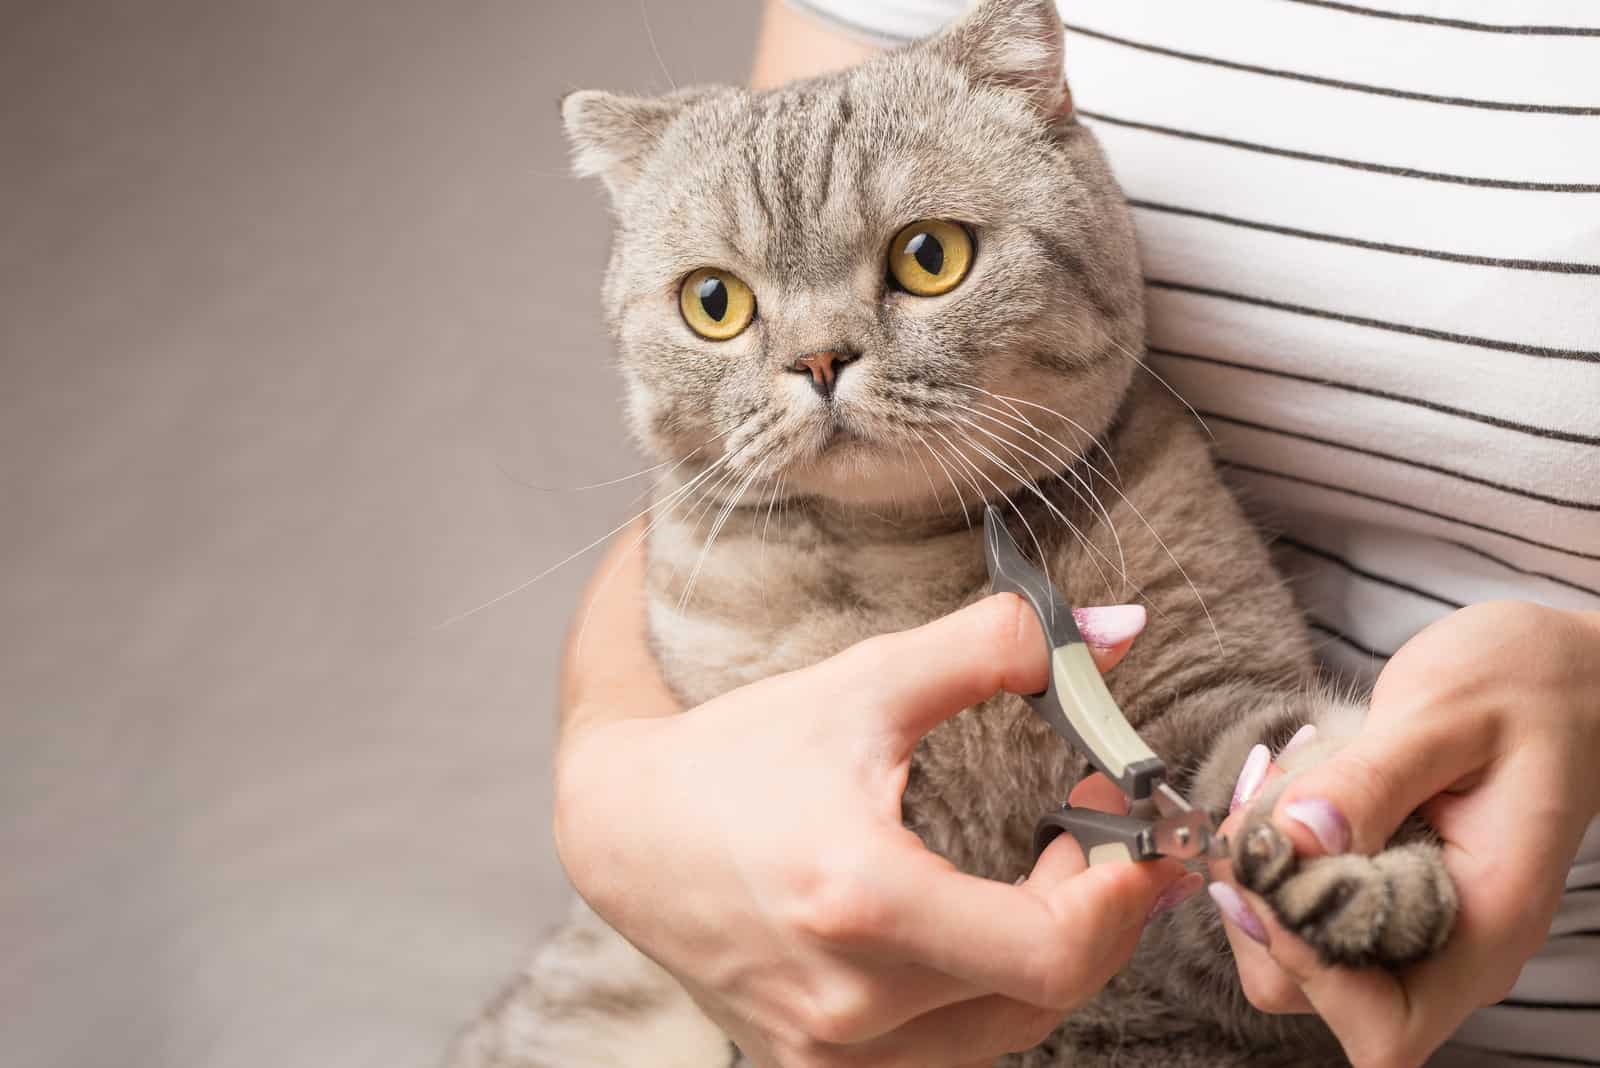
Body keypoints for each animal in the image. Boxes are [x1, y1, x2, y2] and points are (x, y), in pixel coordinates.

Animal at [454, 4, 1465, 1061]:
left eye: (928, 256)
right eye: (714, 302)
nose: (819, 359)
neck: (916, 570)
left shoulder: (1207, 701)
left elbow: (1273, 768)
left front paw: (1348, 864)